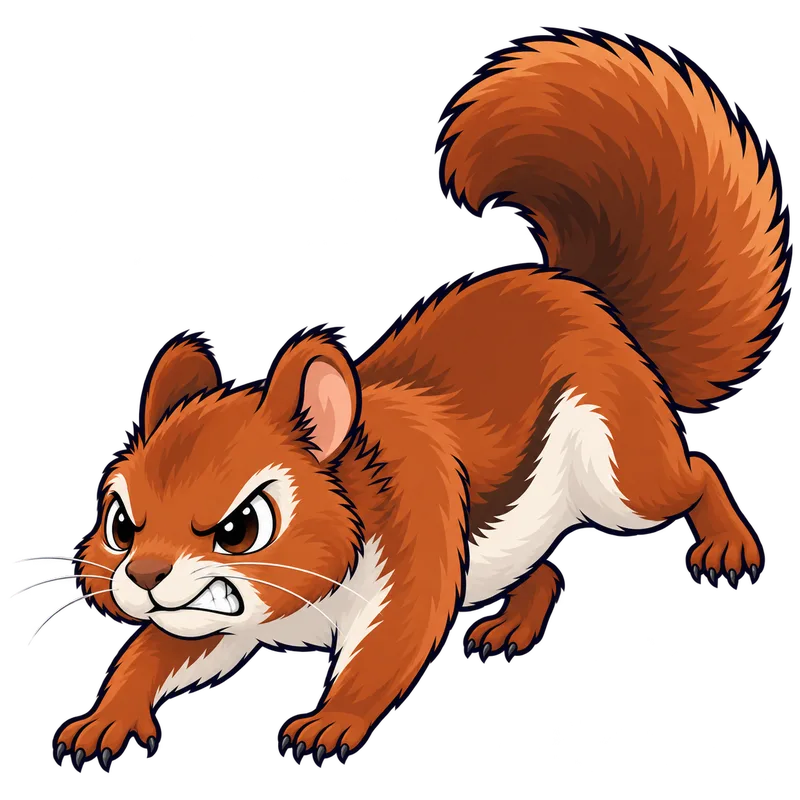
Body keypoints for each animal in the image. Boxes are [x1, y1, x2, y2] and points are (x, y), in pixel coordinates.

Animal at [52, 30, 787, 771]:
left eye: (242, 528)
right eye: (120, 522)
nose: (143, 574)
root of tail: (584, 293)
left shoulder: (415, 534)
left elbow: (391, 645)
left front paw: (331, 722)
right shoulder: (218, 611)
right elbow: (153, 654)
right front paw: (107, 717)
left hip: (622, 477)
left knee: (694, 475)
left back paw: (727, 544)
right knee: (545, 569)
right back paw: (511, 626)